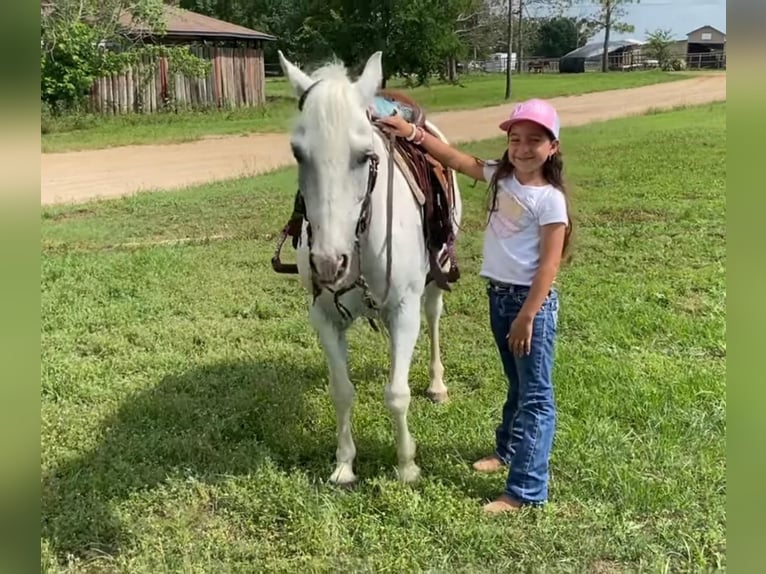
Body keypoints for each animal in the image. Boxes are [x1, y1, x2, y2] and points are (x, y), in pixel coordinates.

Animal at [277, 50, 463, 486]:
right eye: (298, 153)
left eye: (365, 156)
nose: (329, 262)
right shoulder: (324, 317)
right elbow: (342, 390)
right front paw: (344, 463)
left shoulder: (405, 310)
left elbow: (396, 393)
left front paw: (407, 465)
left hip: (435, 281)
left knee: (434, 319)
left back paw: (437, 385)